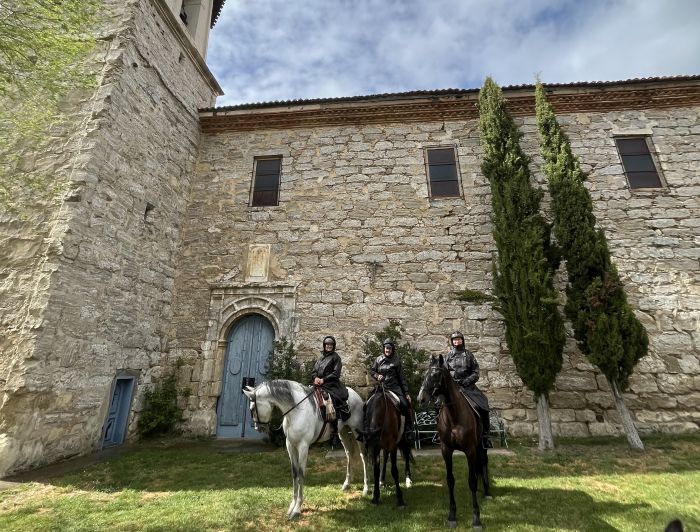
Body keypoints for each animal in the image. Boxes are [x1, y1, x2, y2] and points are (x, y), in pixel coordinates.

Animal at [243, 378, 370, 520]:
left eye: (252, 408)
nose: (258, 428)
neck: (296, 411)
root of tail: (356, 395)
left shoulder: (303, 447)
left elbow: (301, 474)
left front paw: (297, 509)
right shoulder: (290, 445)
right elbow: (294, 474)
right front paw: (292, 505)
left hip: (357, 432)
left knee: (363, 456)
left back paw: (366, 488)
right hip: (343, 432)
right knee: (349, 454)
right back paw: (346, 484)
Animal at [418, 356, 490, 528]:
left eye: (436, 374)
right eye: (425, 374)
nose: (420, 399)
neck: (454, 415)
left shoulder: (470, 449)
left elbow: (472, 480)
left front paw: (476, 518)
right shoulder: (446, 450)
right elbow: (450, 480)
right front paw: (452, 515)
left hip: (481, 445)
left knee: (483, 462)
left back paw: (487, 492)